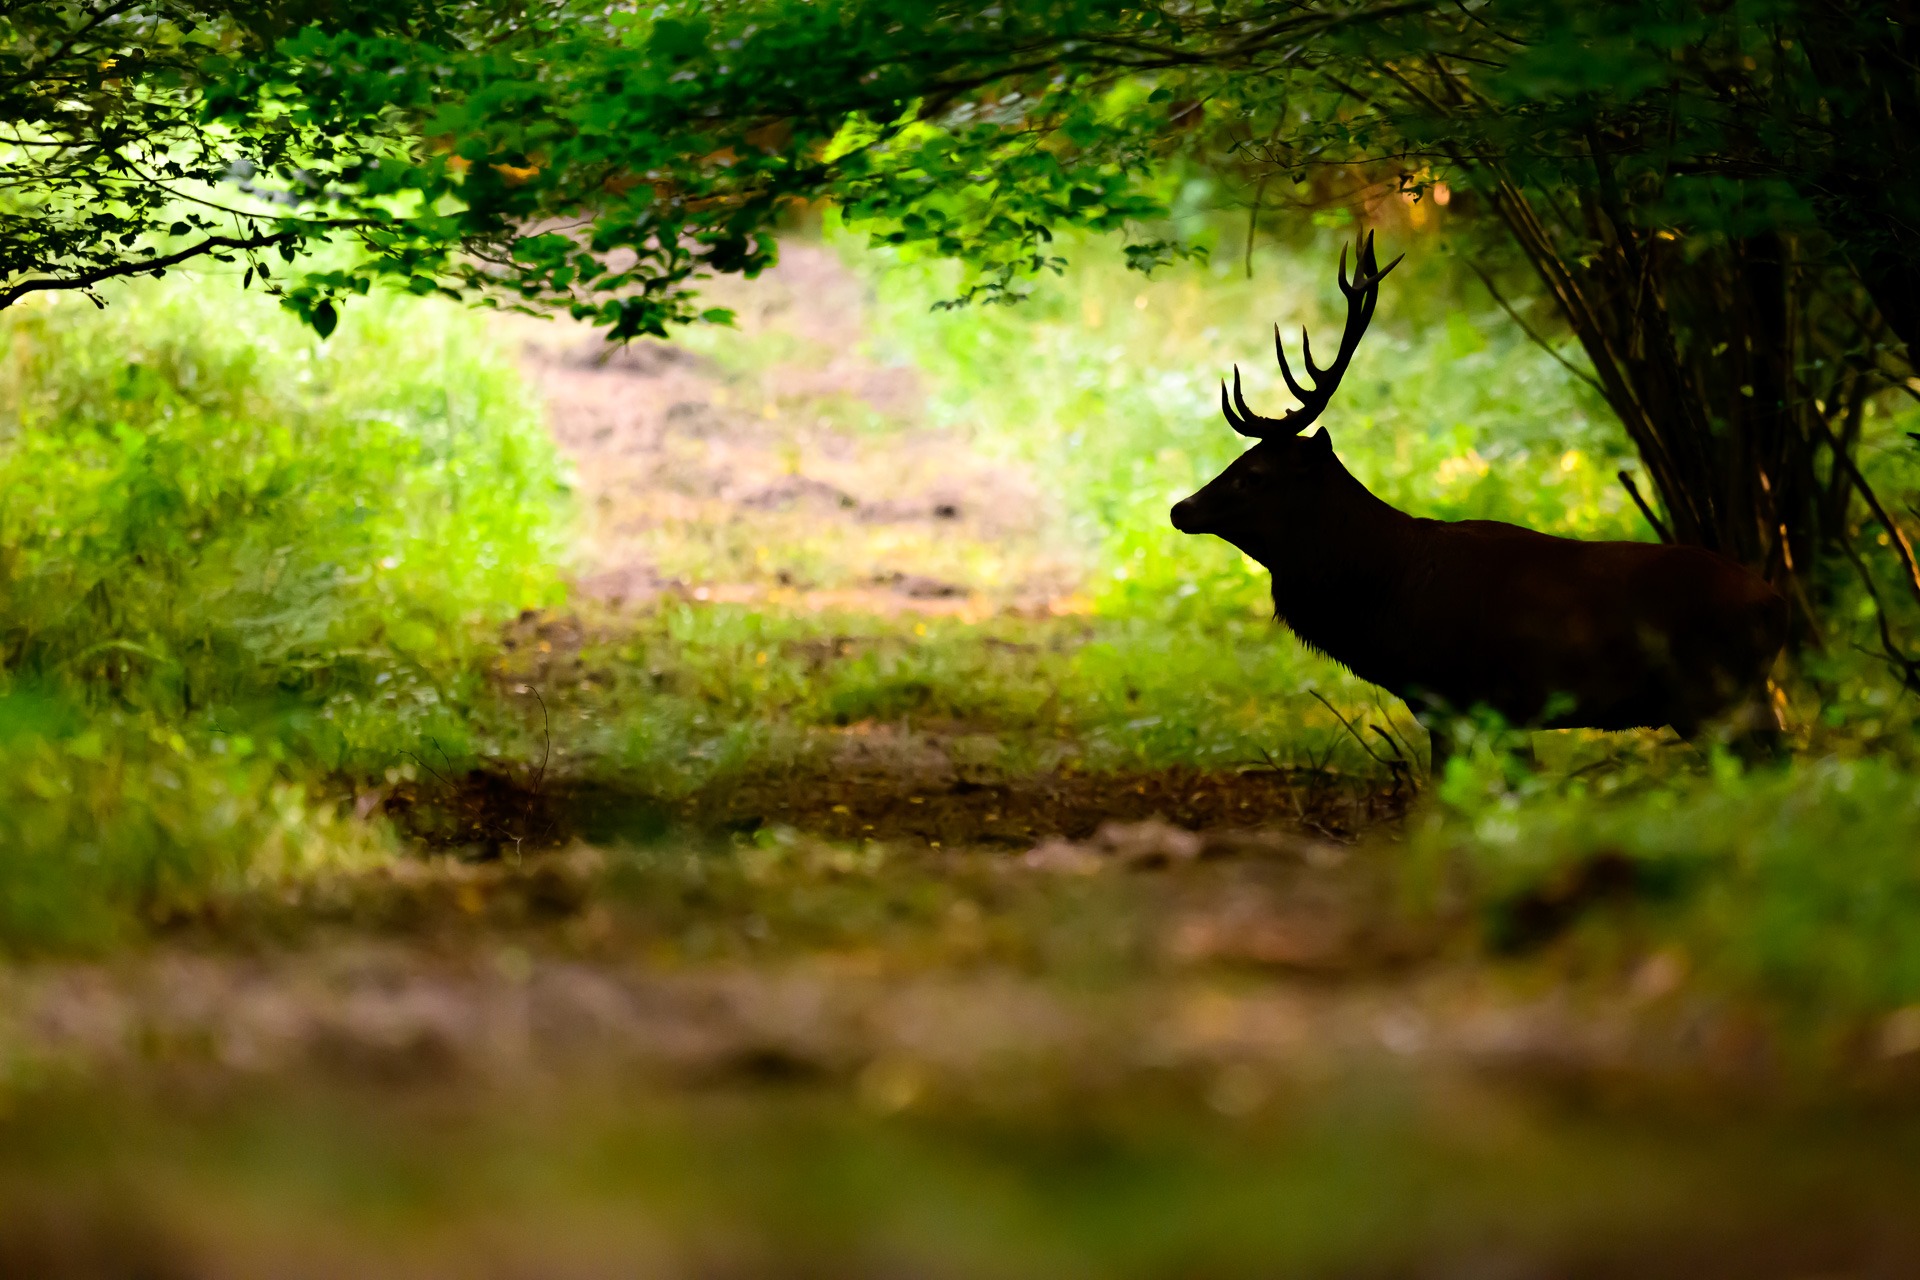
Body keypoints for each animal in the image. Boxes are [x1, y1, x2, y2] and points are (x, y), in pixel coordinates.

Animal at [1169, 233, 1788, 772]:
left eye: (1254, 475)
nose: (1181, 508)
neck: (1387, 593)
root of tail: (1775, 605)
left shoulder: (1485, 700)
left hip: (1713, 697)